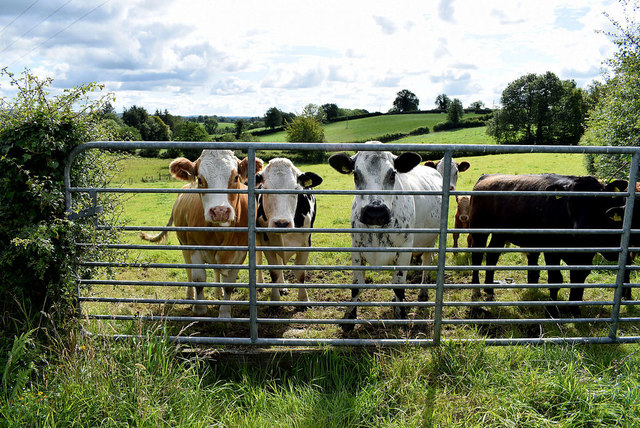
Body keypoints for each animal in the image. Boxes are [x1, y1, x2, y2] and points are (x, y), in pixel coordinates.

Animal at [141, 150, 264, 318]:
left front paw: (225, 312)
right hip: (183, 245)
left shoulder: (239, 253)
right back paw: (189, 295)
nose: (220, 211)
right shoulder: (194, 248)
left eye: (236, 177)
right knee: (188, 270)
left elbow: (229, 284)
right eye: (200, 179)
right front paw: (199, 309)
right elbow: (198, 279)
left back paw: (218, 292)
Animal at [255, 156, 322, 300]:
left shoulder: (305, 243)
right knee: (259, 258)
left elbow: (300, 273)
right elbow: (274, 272)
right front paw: (275, 298)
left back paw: (282, 287)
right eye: (265, 188)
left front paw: (303, 299)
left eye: (296, 188)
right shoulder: (266, 242)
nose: (281, 223)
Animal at [328, 140, 442, 332]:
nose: (375, 212)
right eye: (356, 175)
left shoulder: (405, 249)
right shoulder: (355, 248)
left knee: (427, 263)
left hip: (430, 240)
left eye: (392, 174)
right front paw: (349, 318)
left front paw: (400, 315)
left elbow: (399, 286)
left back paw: (423, 293)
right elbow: (356, 286)